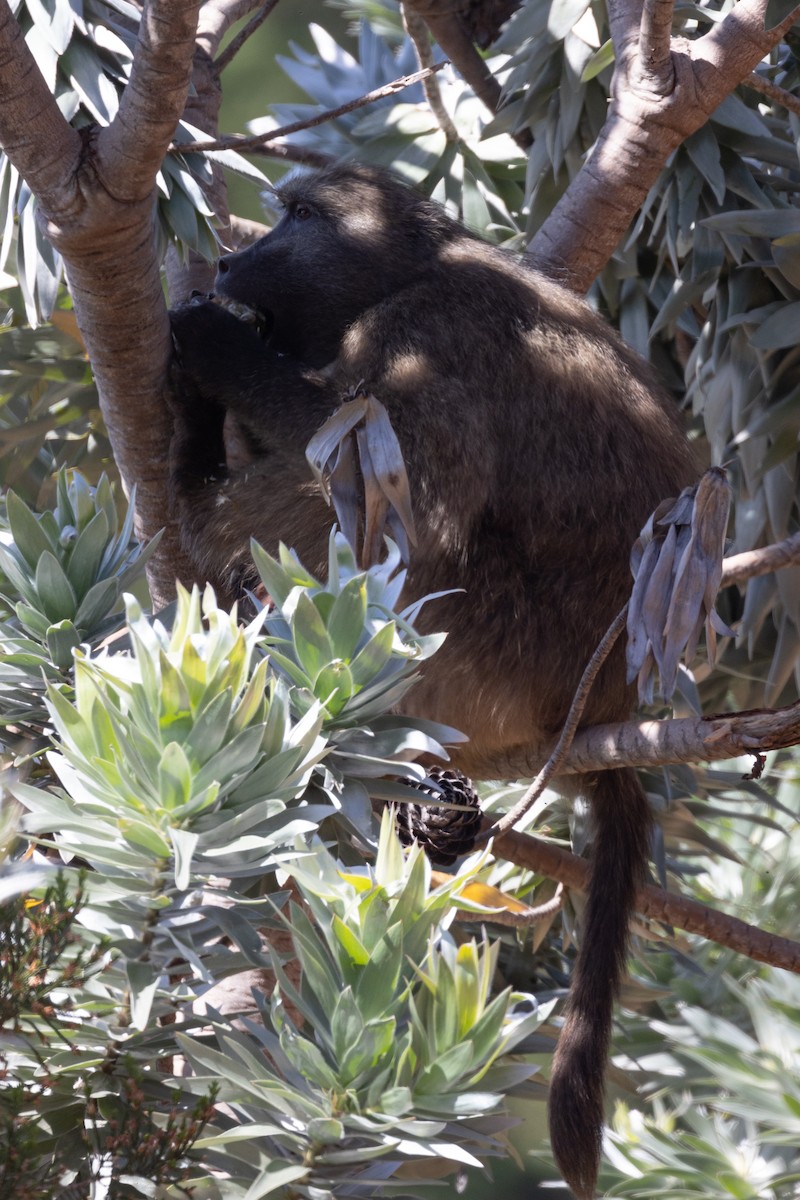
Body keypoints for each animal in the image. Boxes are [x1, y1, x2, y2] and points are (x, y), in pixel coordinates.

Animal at [168, 162, 696, 1200]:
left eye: (300, 216)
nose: (230, 260)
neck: (416, 268)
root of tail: (611, 703)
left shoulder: (428, 335)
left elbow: (397, 483)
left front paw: (206, 349)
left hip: (492, 648)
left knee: (381, 516)